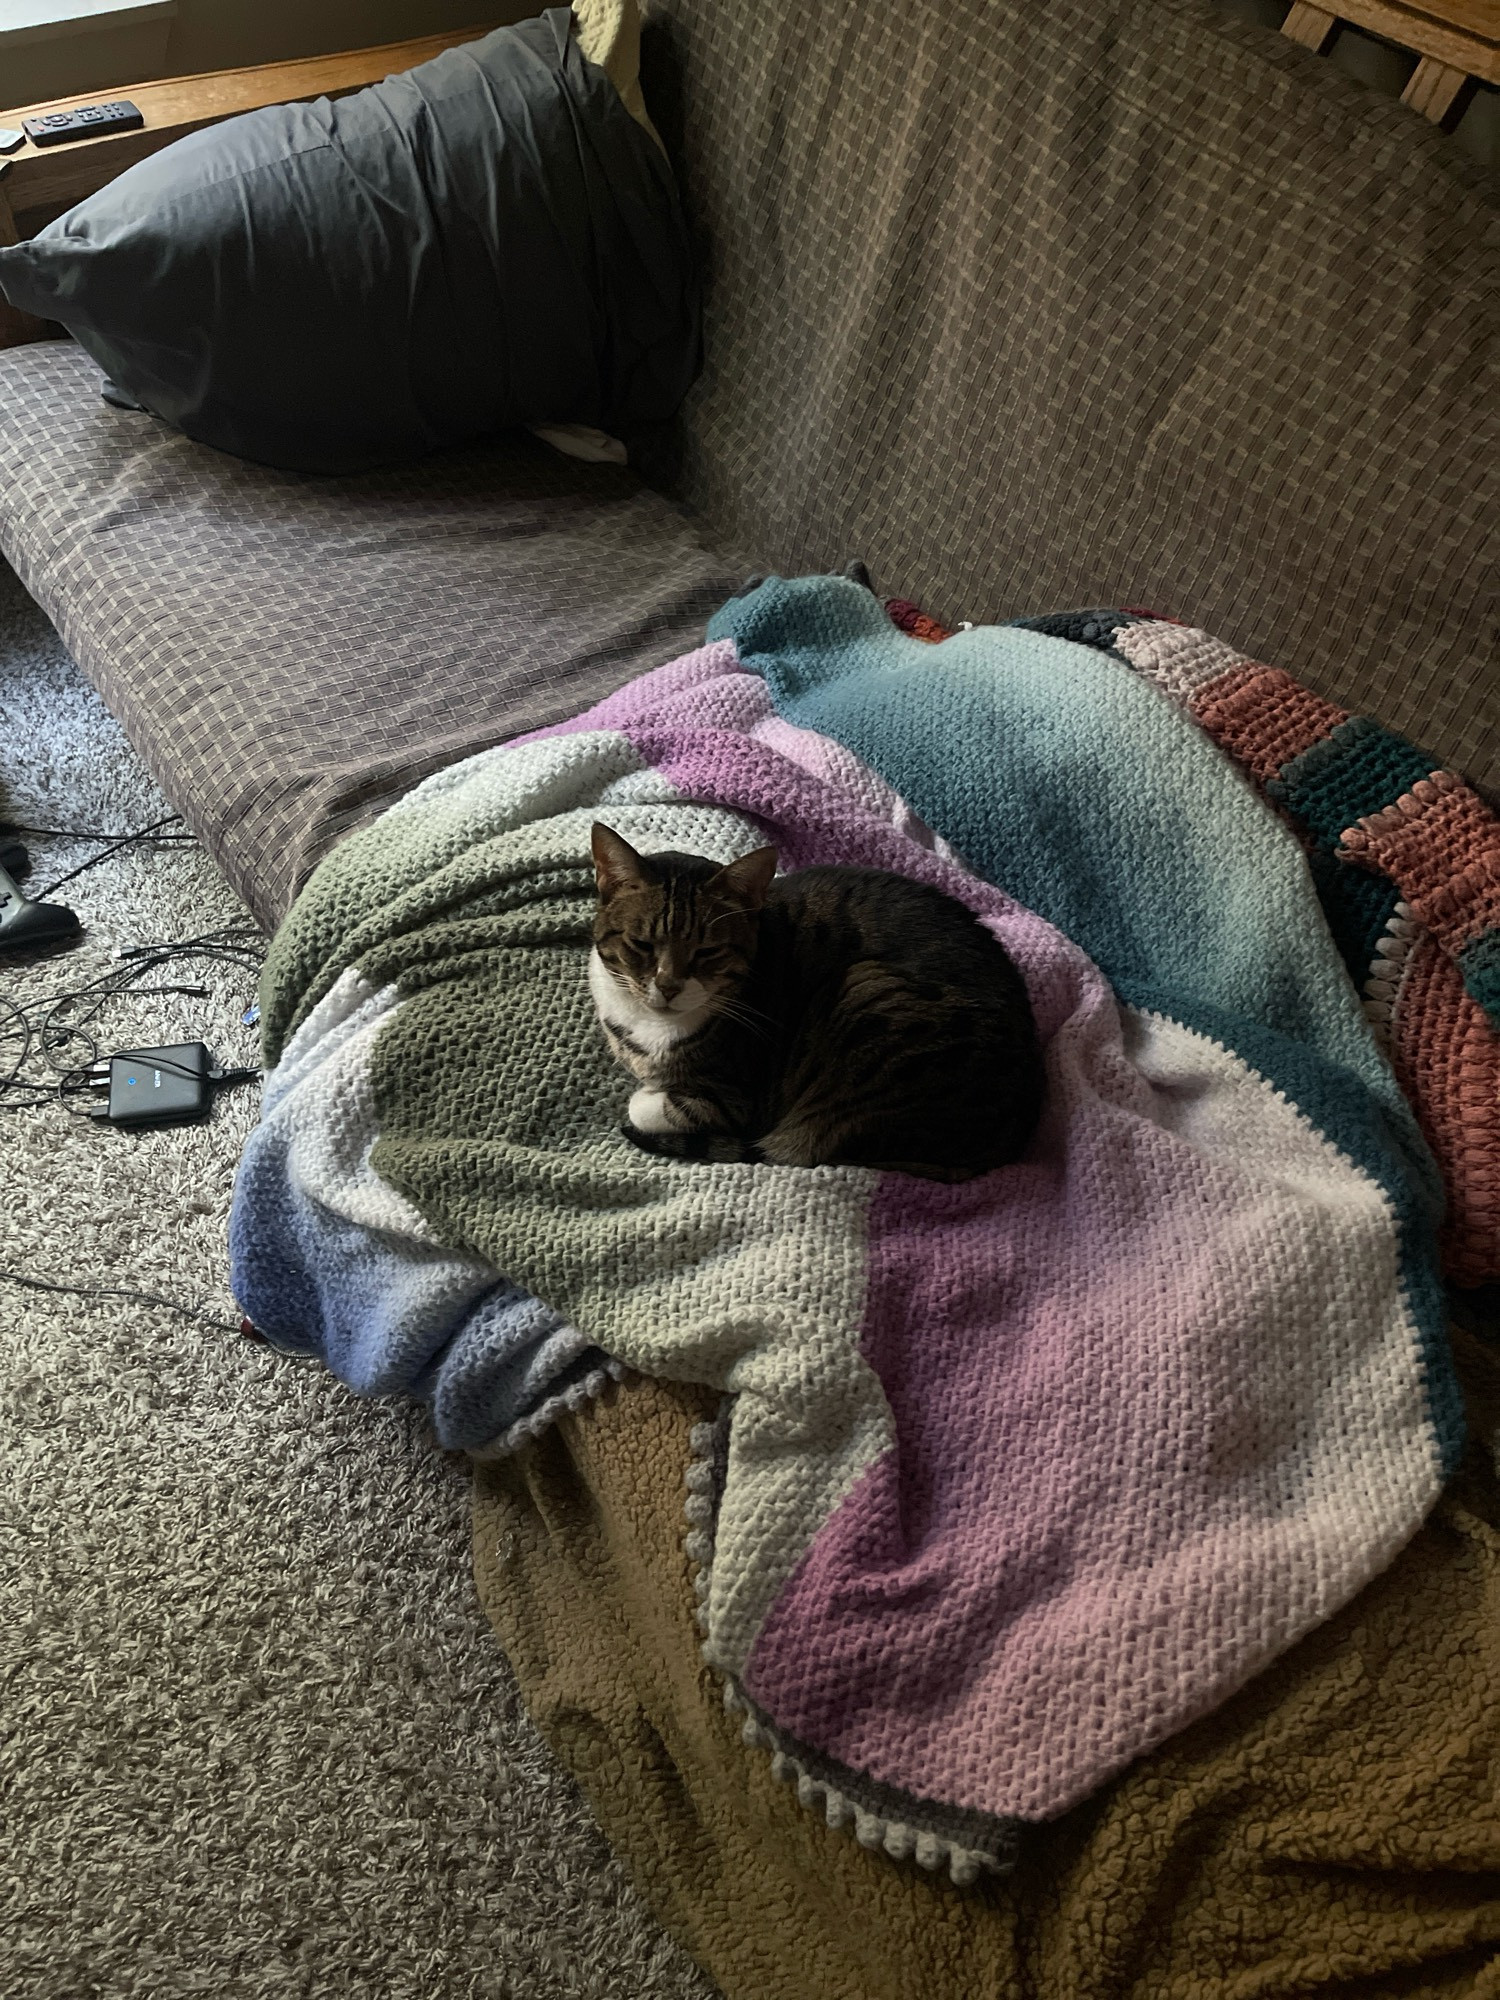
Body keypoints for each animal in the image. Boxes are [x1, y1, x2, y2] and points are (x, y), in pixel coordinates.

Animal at [588, 820, 1048, 1176]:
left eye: (707, 952)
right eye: (641, 944)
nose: (668, 986)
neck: (648, 1023)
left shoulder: (733, 1100)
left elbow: (648, 1106)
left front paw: (644, 1096)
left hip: (863, 990)